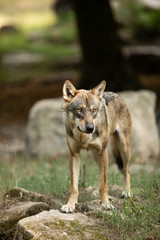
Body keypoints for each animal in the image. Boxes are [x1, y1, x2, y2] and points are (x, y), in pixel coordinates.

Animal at [60, 80, 132, 214]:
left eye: (94, 110)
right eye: (80, 110)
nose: (90, 128)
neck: (83, 136)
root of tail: (116, 94)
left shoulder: (103, 151)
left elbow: (104, 183)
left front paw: (106, 204)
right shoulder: (74, 154)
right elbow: (74, 186)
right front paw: (70, 205)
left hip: (123, 148)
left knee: (126, 169)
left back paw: (127, 192)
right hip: (95, 154)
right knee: (101, 171)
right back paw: (95, 192)